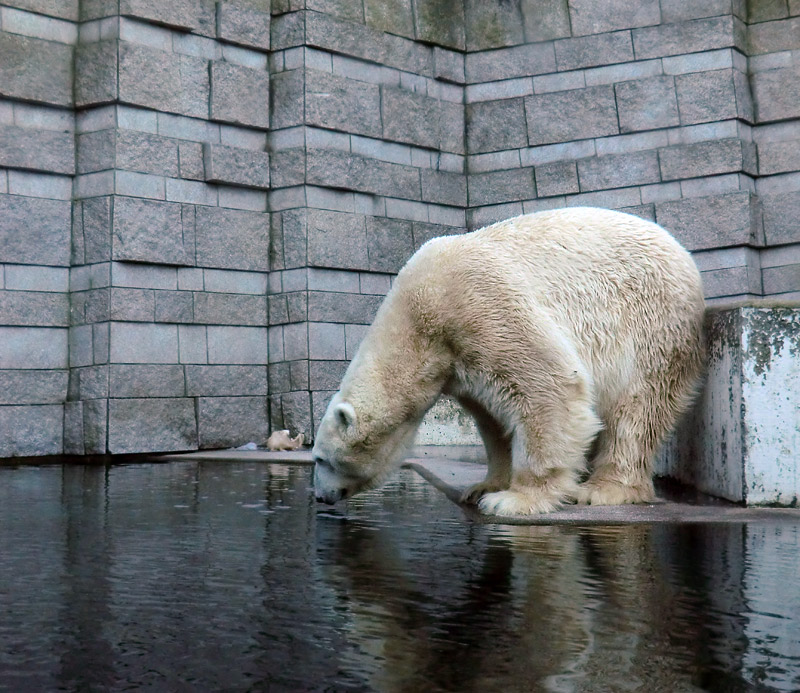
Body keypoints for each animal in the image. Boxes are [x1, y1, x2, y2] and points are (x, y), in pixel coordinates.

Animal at [310, 208, 704, 516]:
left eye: (321, 459)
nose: (319, 497)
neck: (417, 325)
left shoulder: (477, 305)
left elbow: (548, 383)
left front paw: (515, 499)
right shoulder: (457, 362)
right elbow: (493, 417)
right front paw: (485, 487)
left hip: (652, 324)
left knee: (637, 409)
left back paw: (604, 488)